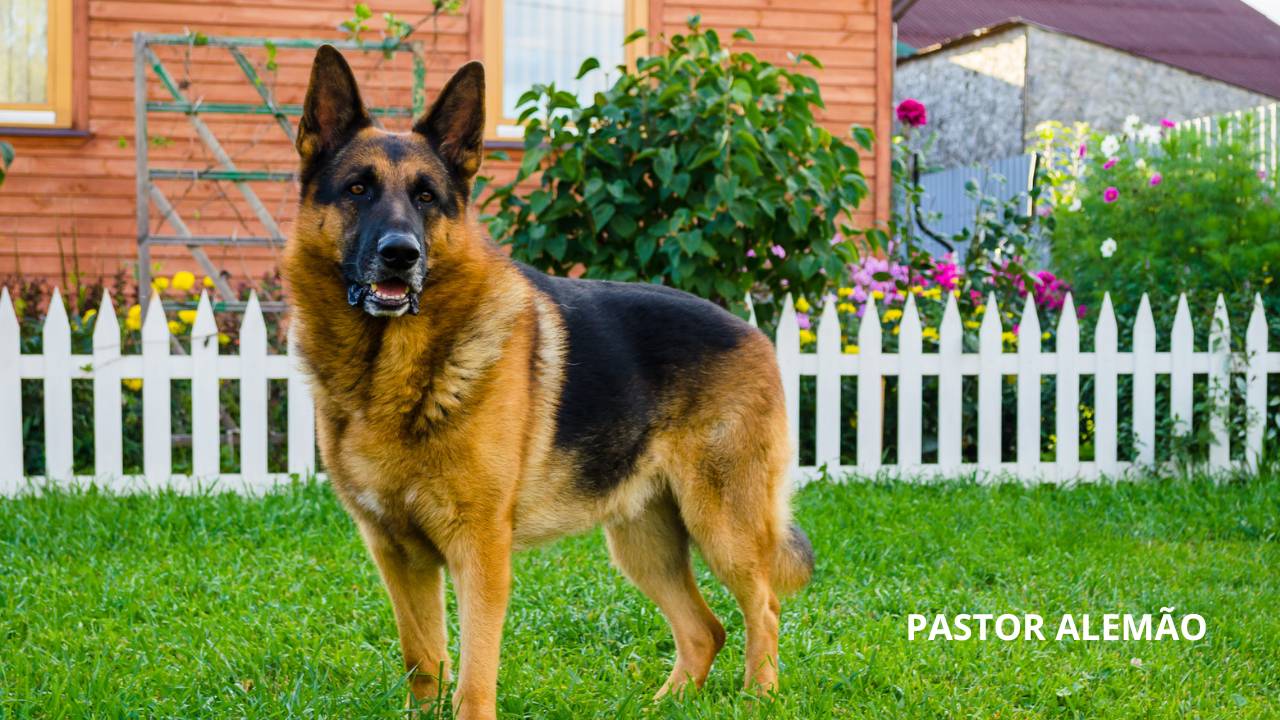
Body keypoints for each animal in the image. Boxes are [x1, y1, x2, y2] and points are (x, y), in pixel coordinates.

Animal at [286, 47, 814, 712]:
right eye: (358, 189)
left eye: (427, 197)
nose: (401, 255)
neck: (394, 370)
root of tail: (753, 331)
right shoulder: (398, 556)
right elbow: (423, 663)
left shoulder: (480, 552)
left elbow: (473, 676)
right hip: (643, 541)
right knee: (705, 629)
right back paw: (662, 704)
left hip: (723, 524)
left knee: (762, 607)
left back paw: (758, 697)